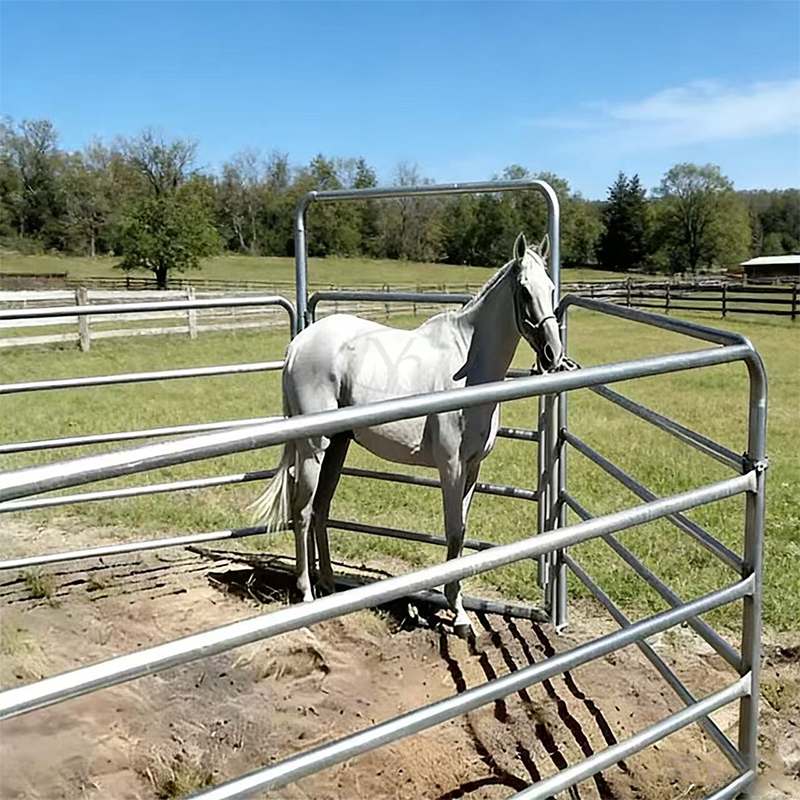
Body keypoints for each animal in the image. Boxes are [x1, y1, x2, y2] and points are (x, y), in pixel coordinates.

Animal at [252, 232, 563, 637]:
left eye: (552, 288)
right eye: (525, 291)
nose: (552, 353)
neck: (469, 367)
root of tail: (298, 346)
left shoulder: (472, 468)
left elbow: (461, 532)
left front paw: (458, 610)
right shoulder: (451, 466)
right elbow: (453, 531)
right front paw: (459, 615)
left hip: (338, 446)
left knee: (320, 510)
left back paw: (330, 587)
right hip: (313, 448)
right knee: (302, 511)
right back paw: (306, 594)